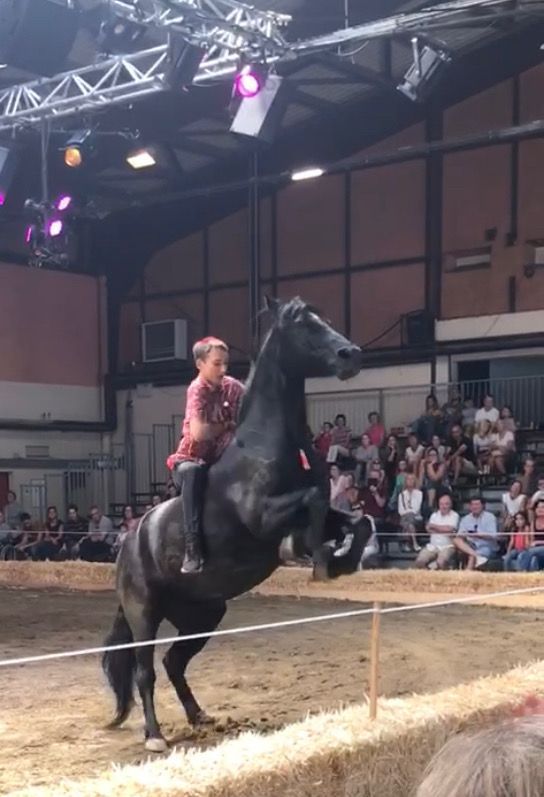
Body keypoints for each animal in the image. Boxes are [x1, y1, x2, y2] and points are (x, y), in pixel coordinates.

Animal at [102, 295, 372, 752]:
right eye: (304, 325)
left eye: (324, 319)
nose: (350, 355)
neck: (269, 445)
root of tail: (128, 544)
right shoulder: (264, 517)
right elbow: (314, 502)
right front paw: (312, 557)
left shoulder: (323, 512)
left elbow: (359, 520)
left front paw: (339, 561)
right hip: (144, 614)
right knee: (145, 671)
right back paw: (155, 736)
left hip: (204, 614)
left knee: (174, 662)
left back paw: (199, 716)